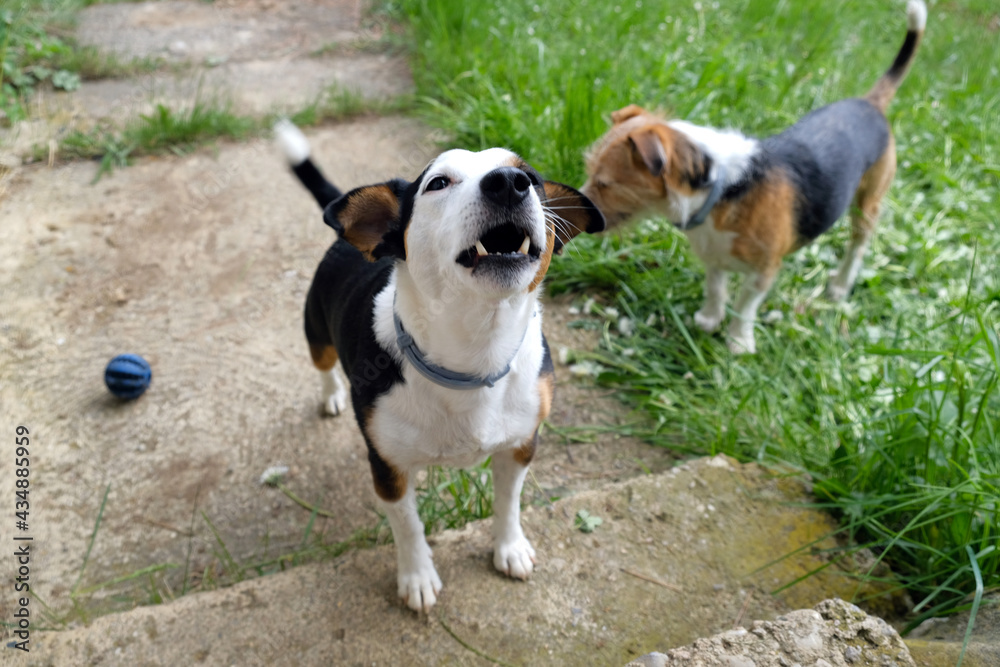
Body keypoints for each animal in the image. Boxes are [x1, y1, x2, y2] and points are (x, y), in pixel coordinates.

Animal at [274, 122, 600, 612]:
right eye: (438, 183)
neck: (474, 353)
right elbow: (408, 526)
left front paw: (509, 547)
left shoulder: (521, 445)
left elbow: (508, 502)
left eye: (532, 178)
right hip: (317, 334)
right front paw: (417, 578)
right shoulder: (387, 468)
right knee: (323, 364)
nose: (509, 182)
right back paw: (331, 395)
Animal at [584, 0, 924, 354]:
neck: (721, 189)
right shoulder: (713, 256)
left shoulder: (764, 270)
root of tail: (870, 104)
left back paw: (840, 286)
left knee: (857, 246)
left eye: (605, 183)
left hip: (867, 204)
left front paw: (738, 340)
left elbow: (745, 304)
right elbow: (716, 288)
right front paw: (710, 319)